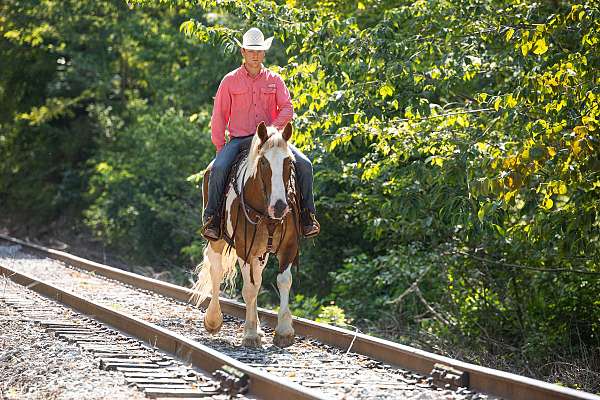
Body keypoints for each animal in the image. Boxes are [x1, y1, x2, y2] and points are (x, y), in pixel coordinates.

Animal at [191, 121, 300, 346]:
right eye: (263, 162)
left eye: (288, 162)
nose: (279, 206)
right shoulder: (244, 247)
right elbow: (249, 288)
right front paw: (249, 334)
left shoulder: (289, 246)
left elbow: (283, 281)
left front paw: (284, 331)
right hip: (218, 240)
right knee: (217, 270)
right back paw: (213, 319)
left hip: (261, 252)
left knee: (257, 277)